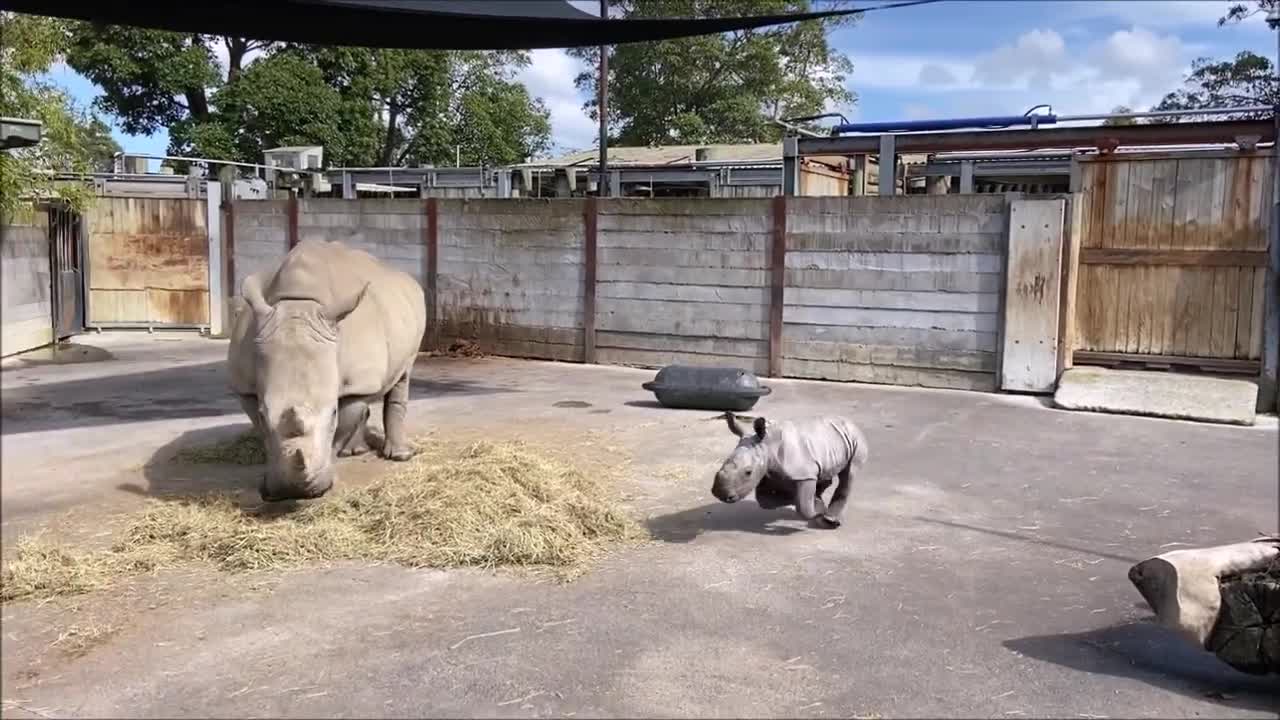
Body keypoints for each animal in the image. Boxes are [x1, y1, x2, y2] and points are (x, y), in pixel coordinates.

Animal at [227, 238, 427, 502]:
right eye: (262, 413)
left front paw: (325, 484)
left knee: (402, 376)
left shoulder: (356, 383)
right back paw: (355, 452)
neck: (299, 303)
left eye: (332, 413)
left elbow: (342, 424)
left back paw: (400, 456)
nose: (292, 491)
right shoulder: (245, 385)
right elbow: (262, 428)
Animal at [711, 409, 870, 527]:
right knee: (826, 472)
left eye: (748, 472)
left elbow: (803, 506)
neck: (767, 446)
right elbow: (765, 501)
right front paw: (816, 505)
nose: (720, 494)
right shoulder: (769, 472)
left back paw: (831, 520)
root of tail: (850, 421)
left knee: (849, 473)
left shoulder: (804, 474)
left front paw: (817, 511)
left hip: (856, 439)